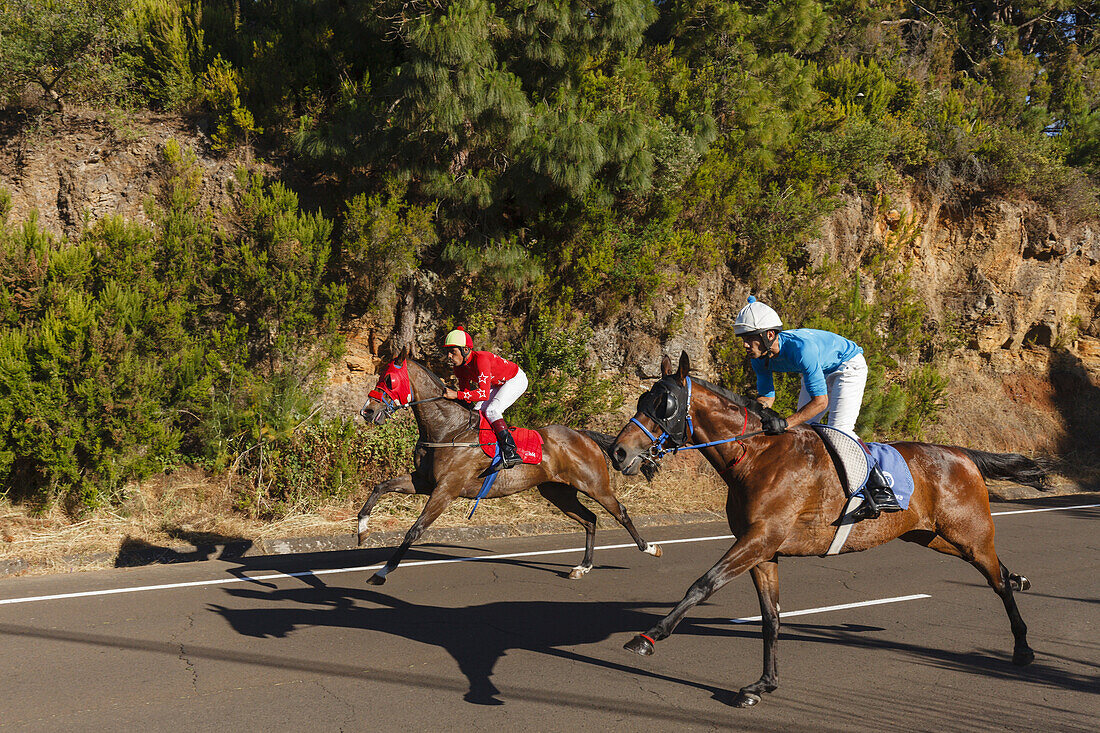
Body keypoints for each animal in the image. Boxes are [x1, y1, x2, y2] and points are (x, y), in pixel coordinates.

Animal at [358, 347, 660, 581]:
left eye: (389, 379)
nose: (367, 411)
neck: (448, 429)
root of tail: (583, 435)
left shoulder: (446, 489)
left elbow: (415, 529)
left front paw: (382, 572)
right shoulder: (424, 482)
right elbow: (380, 487)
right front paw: (362, 531)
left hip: (595, 485)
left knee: (620, 512)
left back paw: (649, 548)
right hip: (557, 491)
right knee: (590, 519)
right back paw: (583, 567)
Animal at [611, 352, 1047, 704]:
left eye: (664, 403)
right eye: (642, 400)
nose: (618, 451)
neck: (755, 456)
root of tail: (961, 453)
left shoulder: (758, 539)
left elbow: (702, 584)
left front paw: (648, 636)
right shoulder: (762, 551)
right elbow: (771, 618)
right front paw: (763, 685)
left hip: (969, 534)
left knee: (997, 582)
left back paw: (1023, 646)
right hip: (932, 536)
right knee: (999, 571)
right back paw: (1020, 580)